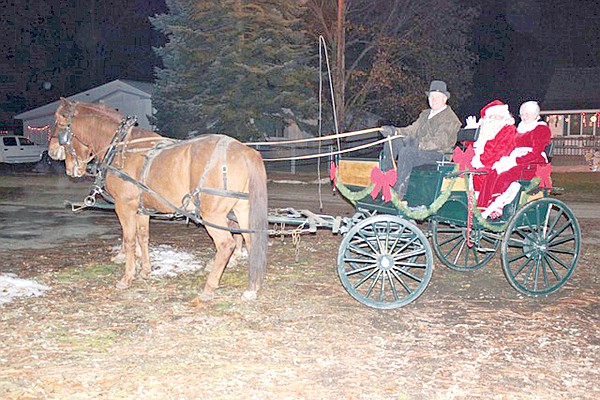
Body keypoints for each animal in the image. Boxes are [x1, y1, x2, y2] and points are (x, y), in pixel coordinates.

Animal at [48, 99, 268, 300]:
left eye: (59, 122)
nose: (51, 152)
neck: (120, 148)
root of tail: (245, 151)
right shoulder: (141, 209)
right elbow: (143, 237)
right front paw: (145, 271)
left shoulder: (124, 206)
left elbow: (129, 239)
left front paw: (127, 277)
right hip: (242, 208)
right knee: (251, 240)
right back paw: (252, 287)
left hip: (213, 214)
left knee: (226, 245)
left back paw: (209, 288)